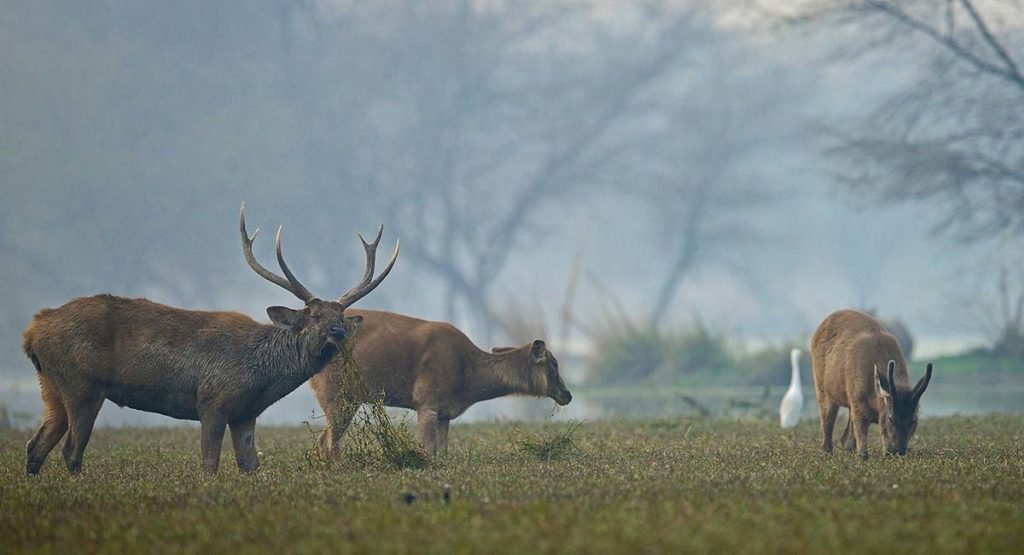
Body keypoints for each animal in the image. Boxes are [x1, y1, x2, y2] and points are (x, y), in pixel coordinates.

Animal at [23, 206, 399, 477]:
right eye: (315, 316)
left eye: (340, 315)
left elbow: (249, 465)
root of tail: (32, 331)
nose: (338, 332)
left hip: (51, 386)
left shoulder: (246, 413)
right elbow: (210, 464)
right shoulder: (213, 401)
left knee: (35, 445)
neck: (262, 376)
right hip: (83, 385)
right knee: (71, 450)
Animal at [307, 311, 573, 458]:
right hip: (335, 392)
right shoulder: (426, 400)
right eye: (554, 363)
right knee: (329, 443)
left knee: (322, 441)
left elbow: (442, 453)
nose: (567, 395)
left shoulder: (444, 412)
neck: (467, 383)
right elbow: (428, 451)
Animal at [811, 311, 933, 458]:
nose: (898, 451)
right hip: (822, 388)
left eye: (914, 420)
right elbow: (863, 451)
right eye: (890, 418)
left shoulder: (856, 404)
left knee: (845, 439)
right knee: (827, 432)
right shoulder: (858, 403)